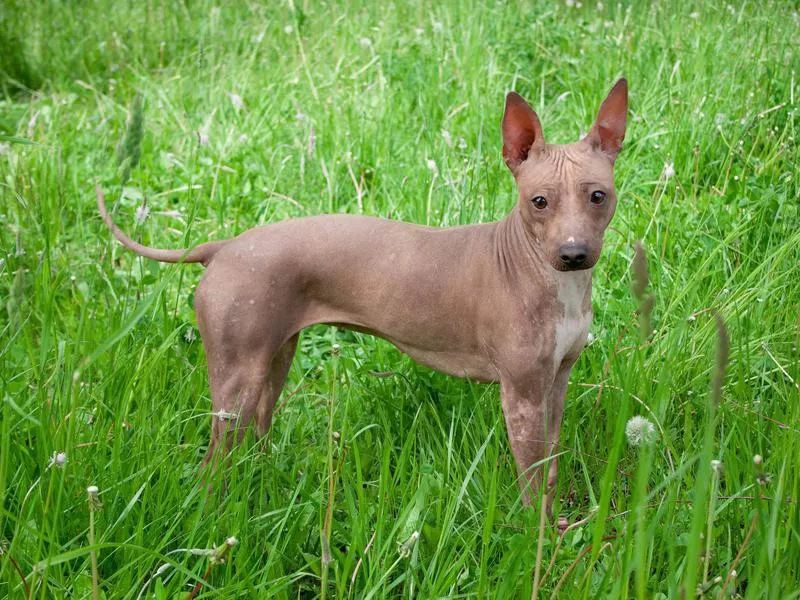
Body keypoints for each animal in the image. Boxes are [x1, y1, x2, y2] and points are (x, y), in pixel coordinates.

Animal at [97, 78, 628, 520]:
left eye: (597, 196)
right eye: (539, 201)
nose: (574, 254)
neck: (545, 276)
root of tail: (224, 247)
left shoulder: (555, 383)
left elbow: (552, 465)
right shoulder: (520, 395)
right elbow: (533, 479)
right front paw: (541, 538)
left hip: (271, 366)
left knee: (255, 437)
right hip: (236, 383)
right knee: (213, 463)